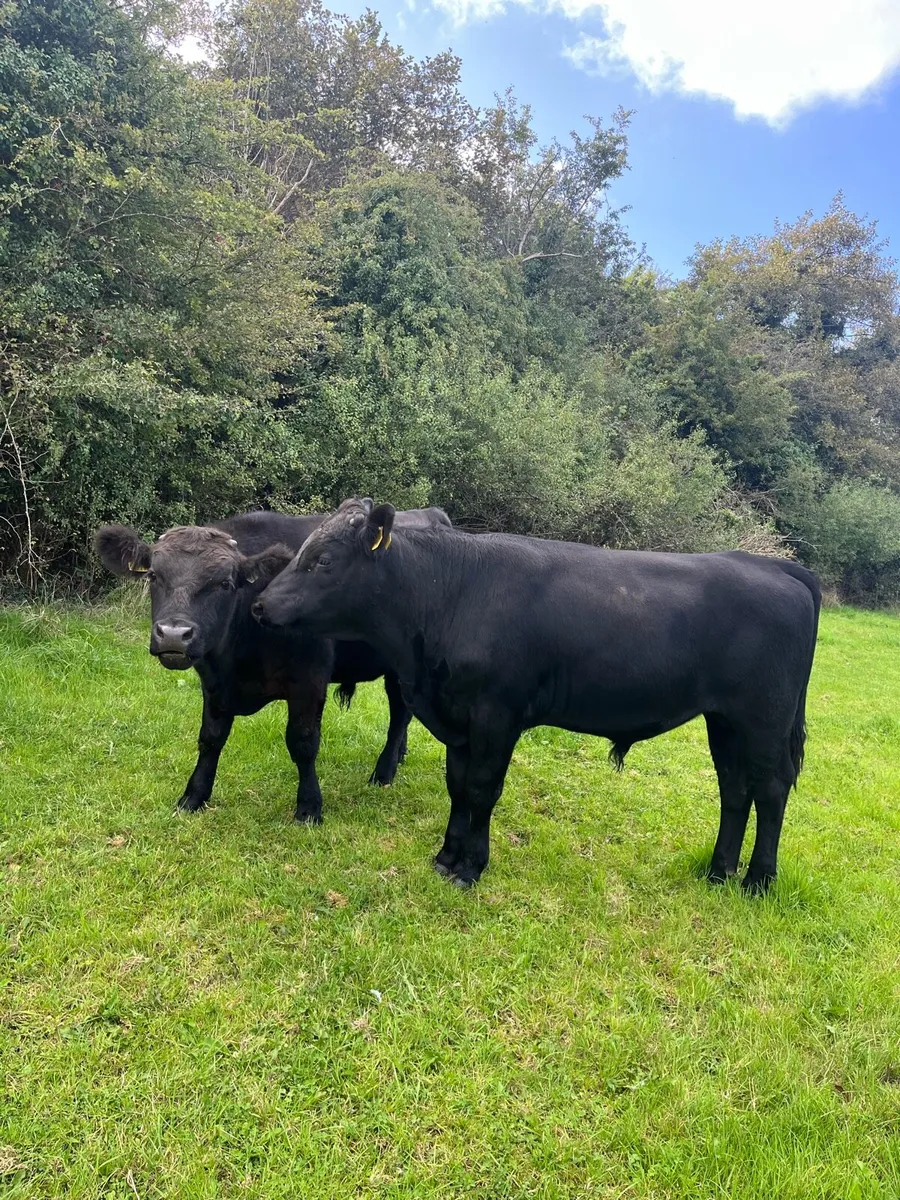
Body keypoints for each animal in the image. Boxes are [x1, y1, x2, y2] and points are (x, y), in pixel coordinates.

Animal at [94, 507, 450, 823]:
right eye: (154, 576)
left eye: (225, 583)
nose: (173, 635)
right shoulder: (213, 682)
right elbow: (210, 738)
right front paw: (193, 796)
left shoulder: (309, 680)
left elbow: (303, 743)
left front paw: (309, 807)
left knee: (399, 714)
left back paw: (384, 771)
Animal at [252, 498, 820, 892]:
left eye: (324, 560)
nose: (259, 606)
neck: (449, 592)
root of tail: (773, 566)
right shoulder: (457, 718)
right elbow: (458, 787)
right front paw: (446, 857)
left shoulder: (495, 714)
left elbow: (482, 789)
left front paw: (471, 867)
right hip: (725, 721)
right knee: (735, 789)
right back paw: (718, 872)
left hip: (764, 720)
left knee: (771, 790)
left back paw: (757, 881)